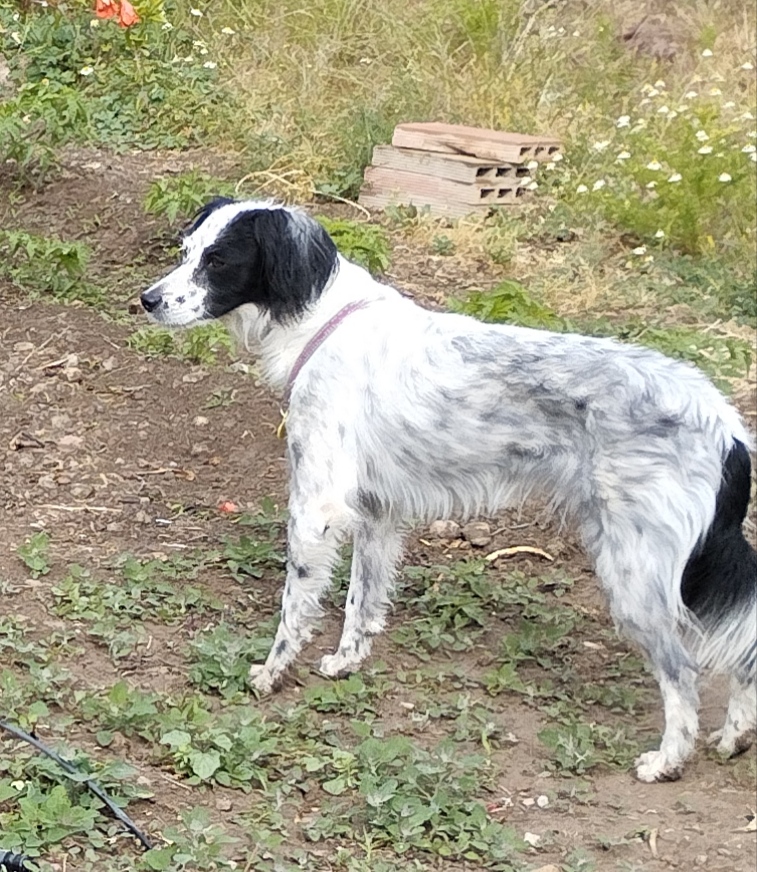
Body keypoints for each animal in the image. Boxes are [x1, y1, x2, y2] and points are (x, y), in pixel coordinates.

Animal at [142, 199, 756, 784]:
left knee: (684, 672)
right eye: (186, 250)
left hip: (634, 578)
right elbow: (362, 604)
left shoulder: (315, 509)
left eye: (218, 261)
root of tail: (727, 426)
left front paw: (271, 674)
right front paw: (345, 663)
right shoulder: (378, 514)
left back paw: (669, 760)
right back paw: (735, 737)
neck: (325, 323)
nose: (147, 300)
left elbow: (296, 609)